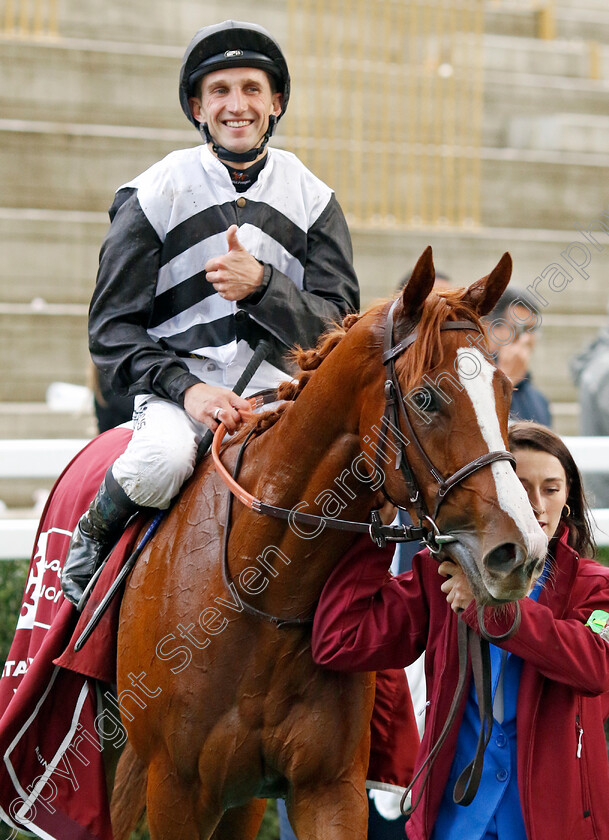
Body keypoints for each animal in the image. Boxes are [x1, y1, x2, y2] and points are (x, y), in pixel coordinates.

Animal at [109, 249, 548, 840]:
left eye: (504, 391)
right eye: (425, 398)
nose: (519, 552)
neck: (263, 597)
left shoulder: (330, 788)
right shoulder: (175, 789)